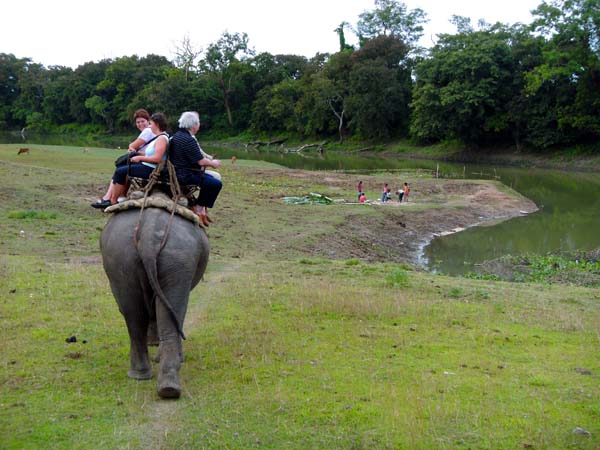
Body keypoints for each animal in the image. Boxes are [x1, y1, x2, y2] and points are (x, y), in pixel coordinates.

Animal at [100, 202, 209, 400]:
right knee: (174, 309)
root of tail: (149, 234)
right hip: (178, 257)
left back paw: (147, 378)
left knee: (134, 315)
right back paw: (167, 384)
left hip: (122, 256)